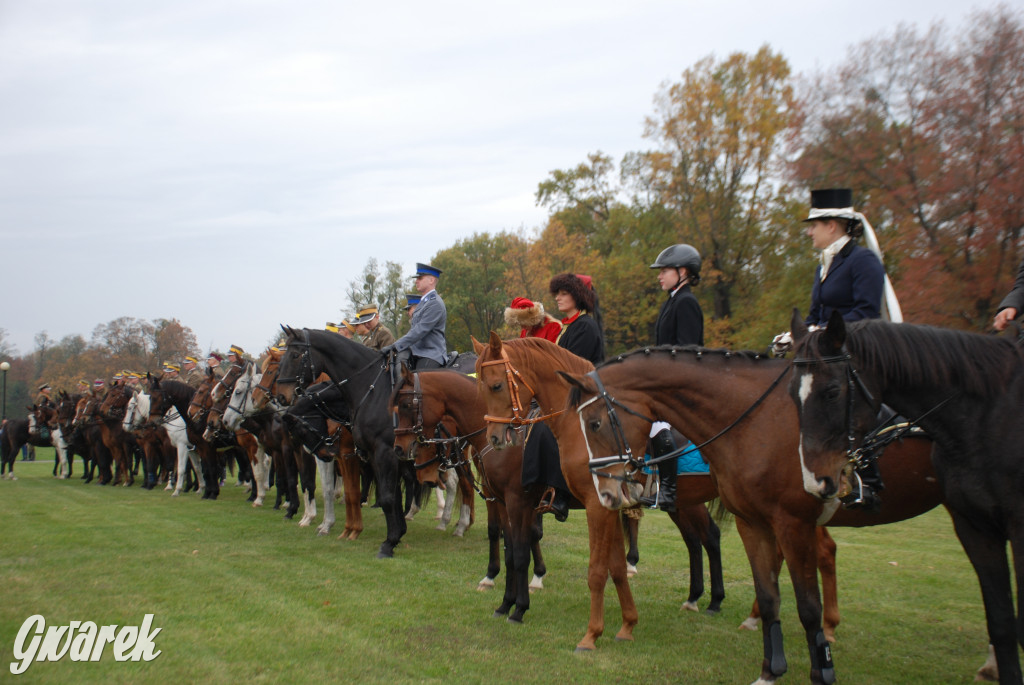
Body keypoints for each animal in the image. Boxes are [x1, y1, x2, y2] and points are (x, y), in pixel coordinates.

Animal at [473, 333, 729, 651]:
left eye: (496, 385)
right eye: (480, 387)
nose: (496, 437)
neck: (576, 425)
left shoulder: (542, 502)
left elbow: (590, 569)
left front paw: (583, 631)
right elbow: (615, 568)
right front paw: (627, 625)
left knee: (714, 539)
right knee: (699, 540)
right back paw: (700, 598)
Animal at [552, 344, 950, 679]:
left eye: (595, 423)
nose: (608, 491)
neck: (752, 419)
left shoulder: (791, 520)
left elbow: (600, 570)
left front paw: (594, 634)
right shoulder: (756, 519)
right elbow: (768, 587)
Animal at [790, 313, 1024, 683]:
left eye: (832, 391)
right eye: (791, 394)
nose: (816, 481)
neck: (988, 413)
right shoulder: (974, 526)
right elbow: (1001, 620)